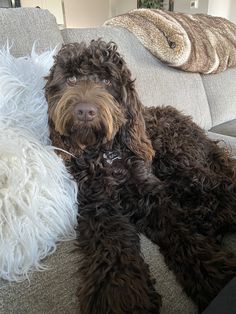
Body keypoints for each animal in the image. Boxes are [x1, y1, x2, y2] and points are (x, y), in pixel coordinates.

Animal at [45, 39, 236, 314]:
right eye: (70, 78)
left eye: (106, 80)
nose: (85, 111)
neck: (106, 154)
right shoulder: (99, 206)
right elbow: (111, 248)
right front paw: (121, 296)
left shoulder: (152, 196)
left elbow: (181, 231)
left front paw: (214, 274)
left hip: (176, 158)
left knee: (219, 187)